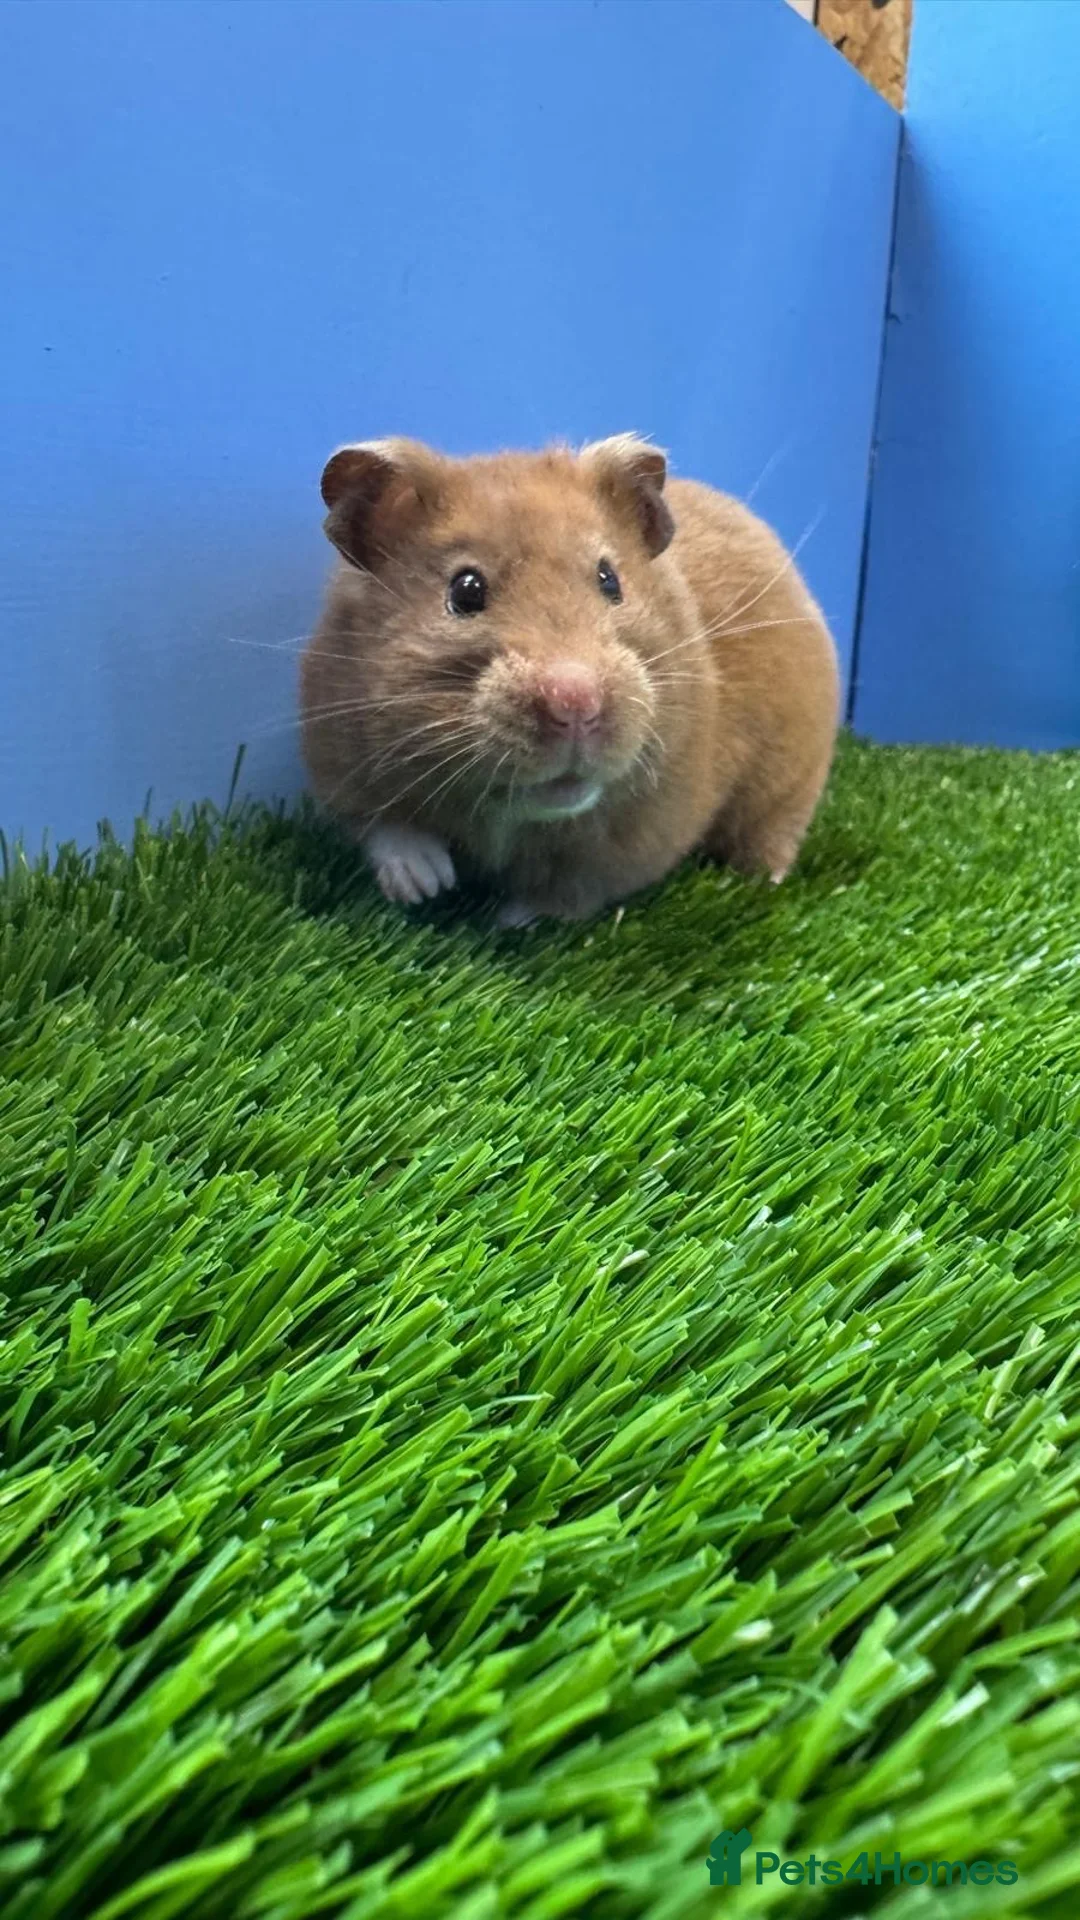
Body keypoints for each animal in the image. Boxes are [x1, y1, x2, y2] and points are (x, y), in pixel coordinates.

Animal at [300, 435, 840, 925]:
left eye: (610, 581)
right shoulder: (339, 761)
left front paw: (505, 924)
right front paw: (426, 885)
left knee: (773, 835)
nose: (575, 703)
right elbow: (385, 828)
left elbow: (562, 896)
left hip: (790, 782)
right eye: (465, 591)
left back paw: (763, 881)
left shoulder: (629, 846)